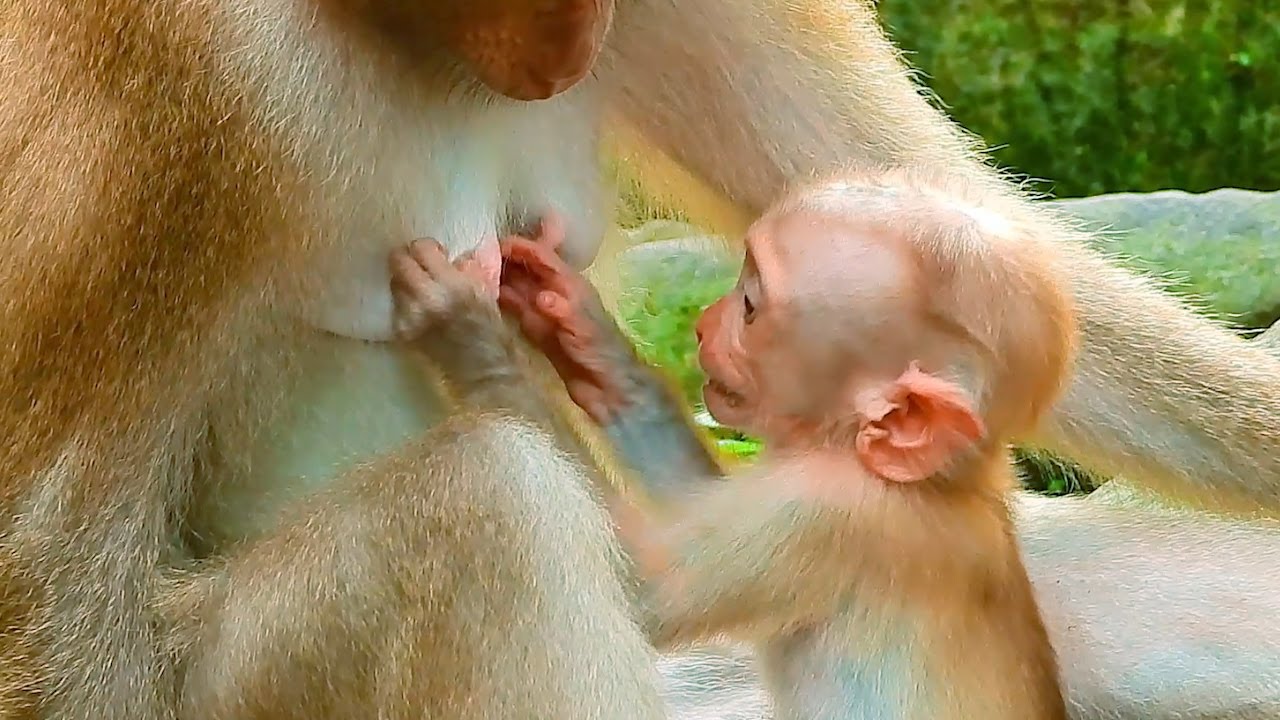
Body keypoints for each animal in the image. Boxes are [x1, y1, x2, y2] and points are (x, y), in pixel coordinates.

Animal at [496, 168, 1072, 720]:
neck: (943, 483)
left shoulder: (831, 515)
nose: (703, 325)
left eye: (749, 305)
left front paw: (482, 347)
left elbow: (643, 585)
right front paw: (597, 351)